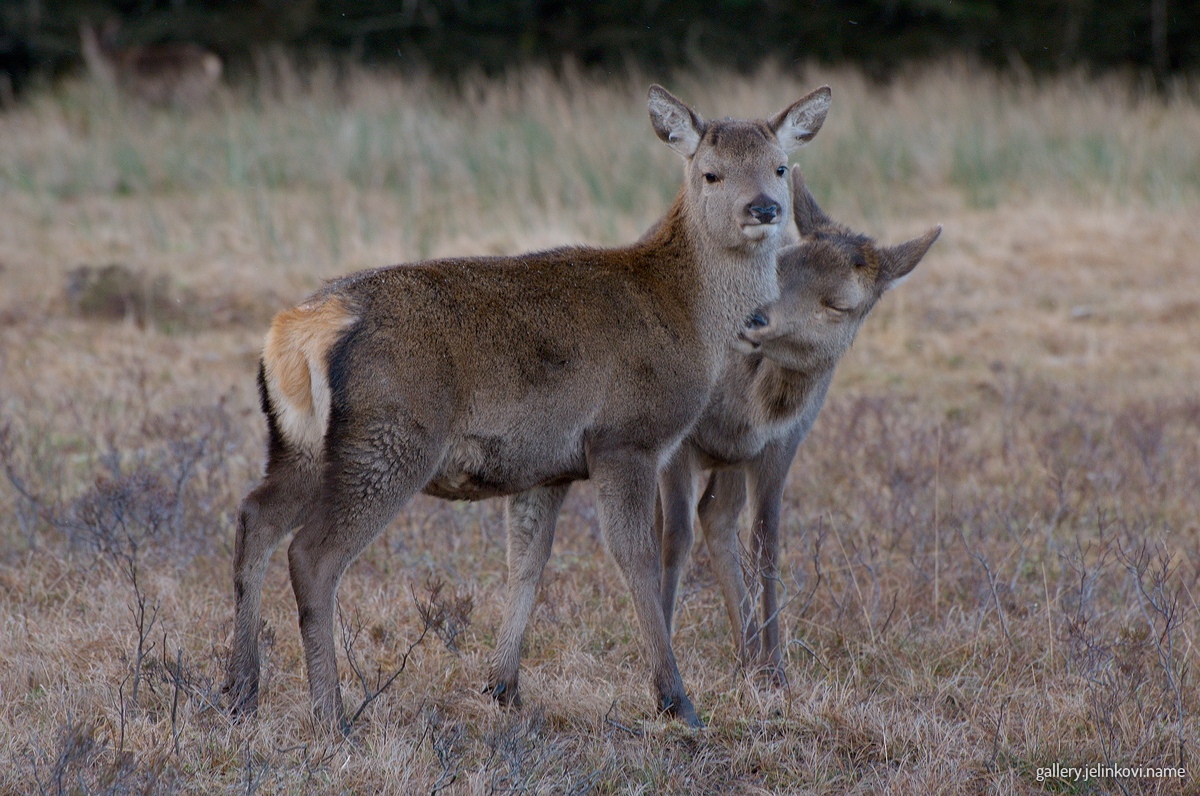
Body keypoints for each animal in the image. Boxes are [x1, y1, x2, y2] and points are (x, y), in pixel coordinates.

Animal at [79, 21, 221, 108]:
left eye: (107, 38)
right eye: (89, 38)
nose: (97, 49)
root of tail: (211, 62)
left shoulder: (132, 93)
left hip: (190, 90)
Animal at [223, 84, 832, 731]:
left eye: (780, 167)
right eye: (711, 172)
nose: (764, 209)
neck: (689, 318)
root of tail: (299, 329)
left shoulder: (547, 466)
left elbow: (527, 565)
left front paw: (503, 687)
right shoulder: (626, 436)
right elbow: (637, 558)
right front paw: (676, 699)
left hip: (299, 443)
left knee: (255, 516)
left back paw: (240, 692)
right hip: (391, 435)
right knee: (313, 554)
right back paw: (331, 714)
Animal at [489, 167, 939, 697]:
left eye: (839, 305)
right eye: (781, 264)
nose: (755, 319)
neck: (750, 410)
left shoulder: (783, 445)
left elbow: (767, 543)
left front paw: (776, 668)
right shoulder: (677, 440)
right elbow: (674, 537)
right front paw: (663, 653)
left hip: (730, 461)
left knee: (718, 515)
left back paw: (748, 654)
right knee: (689, 519)